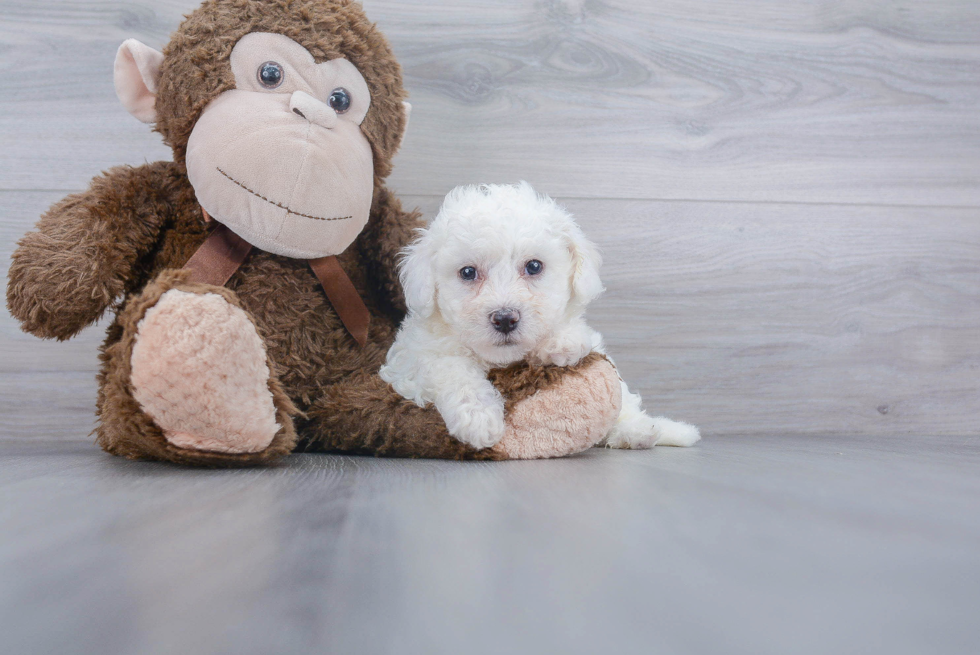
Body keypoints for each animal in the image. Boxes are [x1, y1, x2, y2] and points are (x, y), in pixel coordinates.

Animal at [378, 182, 700, 454]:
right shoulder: (410, 362)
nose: (505, 318)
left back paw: (641, 430)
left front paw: (562, 342)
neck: (502, 361)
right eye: (468, 272)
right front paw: (478, 418)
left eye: (534, 266)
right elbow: (450, 368)